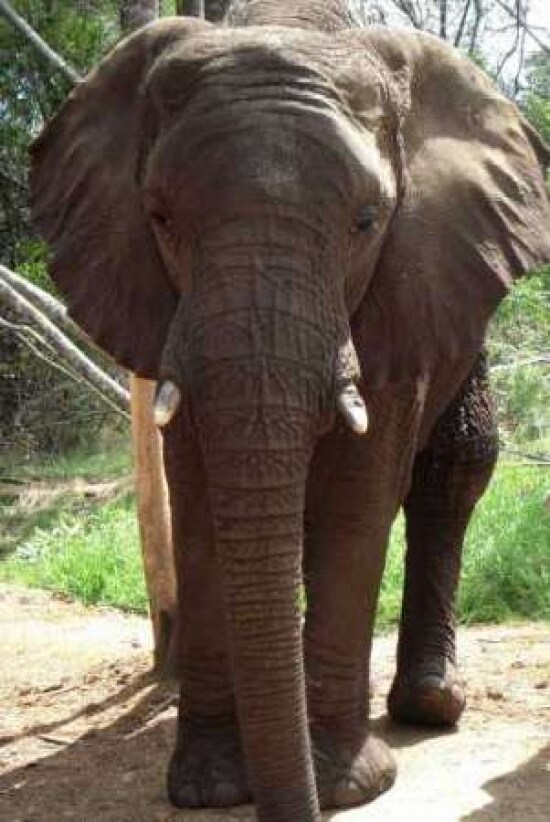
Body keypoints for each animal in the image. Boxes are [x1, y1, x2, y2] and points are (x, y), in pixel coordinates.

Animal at [30, 1, 550, 821]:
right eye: (160, 217)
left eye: (367, 221)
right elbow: (201, 504)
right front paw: (210, 787)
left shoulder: (406, 278)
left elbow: (357, 502)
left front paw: (346, 786)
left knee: (458, 466)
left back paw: (431, 705)